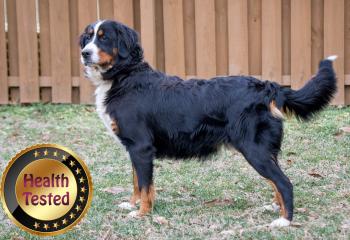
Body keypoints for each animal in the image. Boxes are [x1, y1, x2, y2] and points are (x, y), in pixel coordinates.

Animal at [79, 19, 336, 227]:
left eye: (104, 37)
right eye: (89, 36)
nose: (84, 53)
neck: (125, 76)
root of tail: (268, 87)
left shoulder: (141, 147)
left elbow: (145, 186)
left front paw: (142, 213)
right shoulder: (134, 149)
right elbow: (136, 182)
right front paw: (132, 204)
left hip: (254, 150)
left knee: (284, 182)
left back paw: (284, 220)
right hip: (264, 151)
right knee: (276, 181)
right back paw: (275, 208)